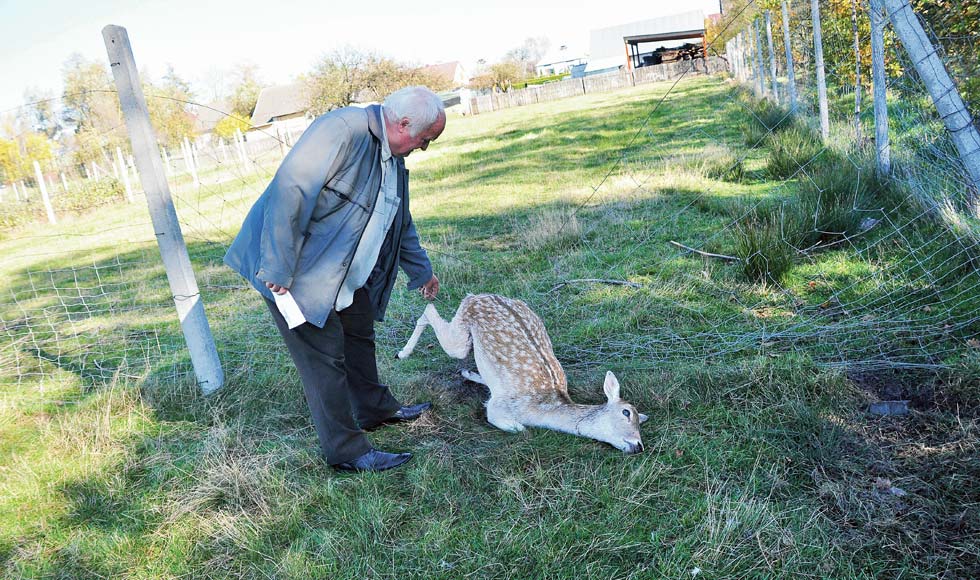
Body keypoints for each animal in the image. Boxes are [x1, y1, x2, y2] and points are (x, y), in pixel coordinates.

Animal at [394, 294, 648, 454]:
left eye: (640, 420)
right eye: (626, 412)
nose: (639, 445)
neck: (539, 410)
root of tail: (478, 294)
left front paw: (469, 374)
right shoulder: (498, 409)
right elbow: (518, 428)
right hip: (459, 337)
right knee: (429, 310)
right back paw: (403, 352)